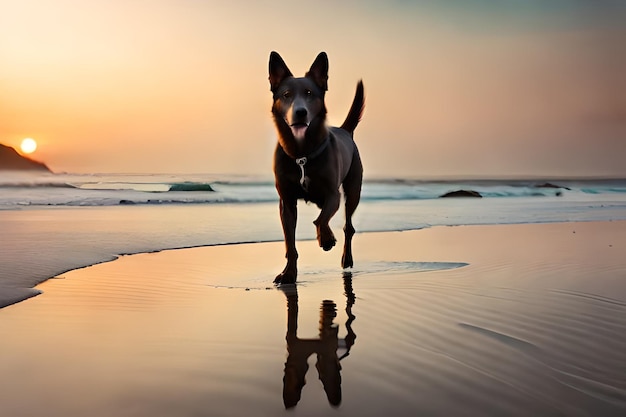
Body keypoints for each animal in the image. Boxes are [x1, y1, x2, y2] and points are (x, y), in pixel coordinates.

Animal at [266, 50, 364, 282]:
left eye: (309, 93)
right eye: (286, 95)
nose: (300, 112)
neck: (301, 153)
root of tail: (345, 130)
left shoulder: (333, 194)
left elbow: (321, 220)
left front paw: (326, 239)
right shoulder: (287, 203)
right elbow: (290, 244)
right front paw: (289, 273)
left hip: (353, 191)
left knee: (348, 227)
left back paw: (346, 259)